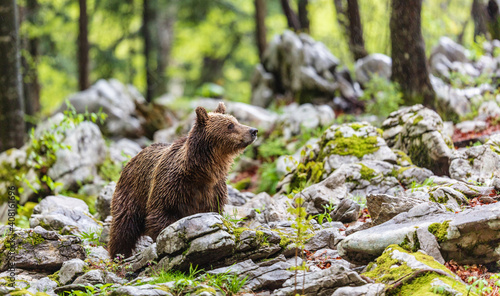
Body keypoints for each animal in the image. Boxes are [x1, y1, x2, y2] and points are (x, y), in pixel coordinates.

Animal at [109, 102, 258, 260]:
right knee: (123, 226)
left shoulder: (214, 190)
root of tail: (132, 159)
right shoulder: (170, 187)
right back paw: (119, 255)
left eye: (235, 120)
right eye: (230, 125)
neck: (202, 172)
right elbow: (160, 215)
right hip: (132, 194)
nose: (253, 131)